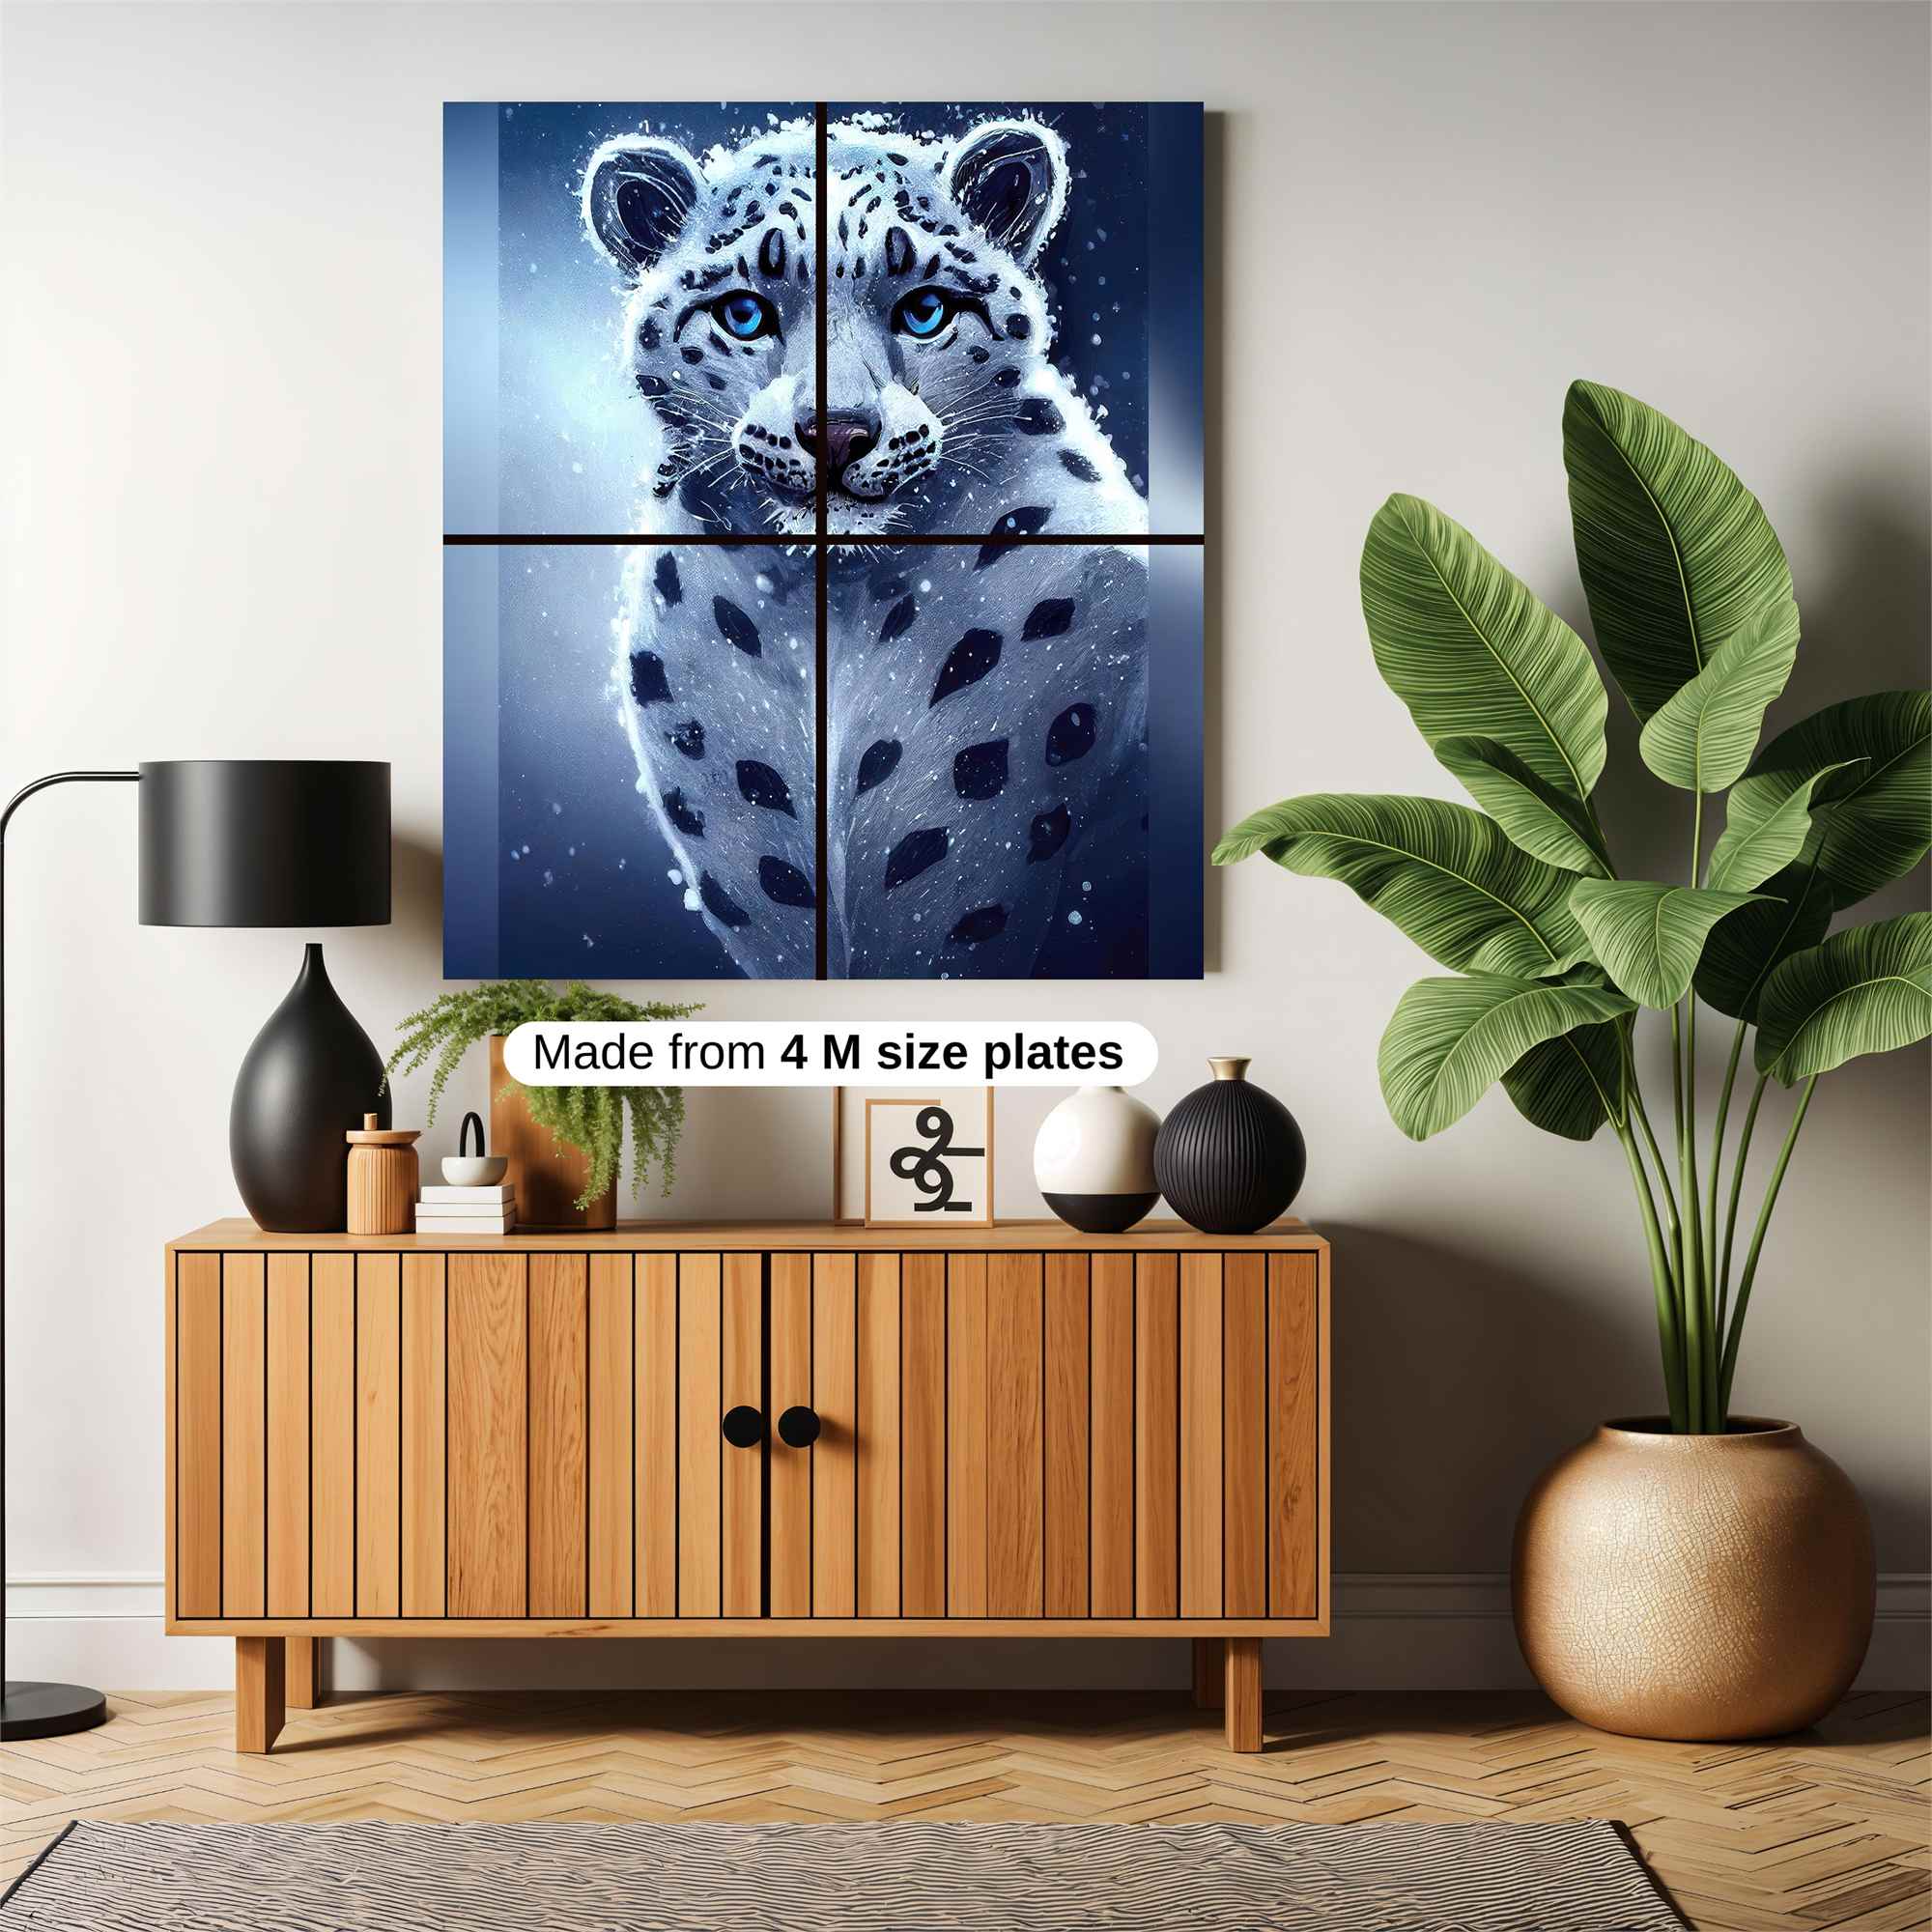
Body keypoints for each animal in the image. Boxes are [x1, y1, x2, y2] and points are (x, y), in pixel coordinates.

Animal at [582, 113, 1149, 977]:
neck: (831, 618)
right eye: (743, 313)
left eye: (925, 309)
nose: (839, 431)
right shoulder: (758, 865)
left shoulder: (965, 852)